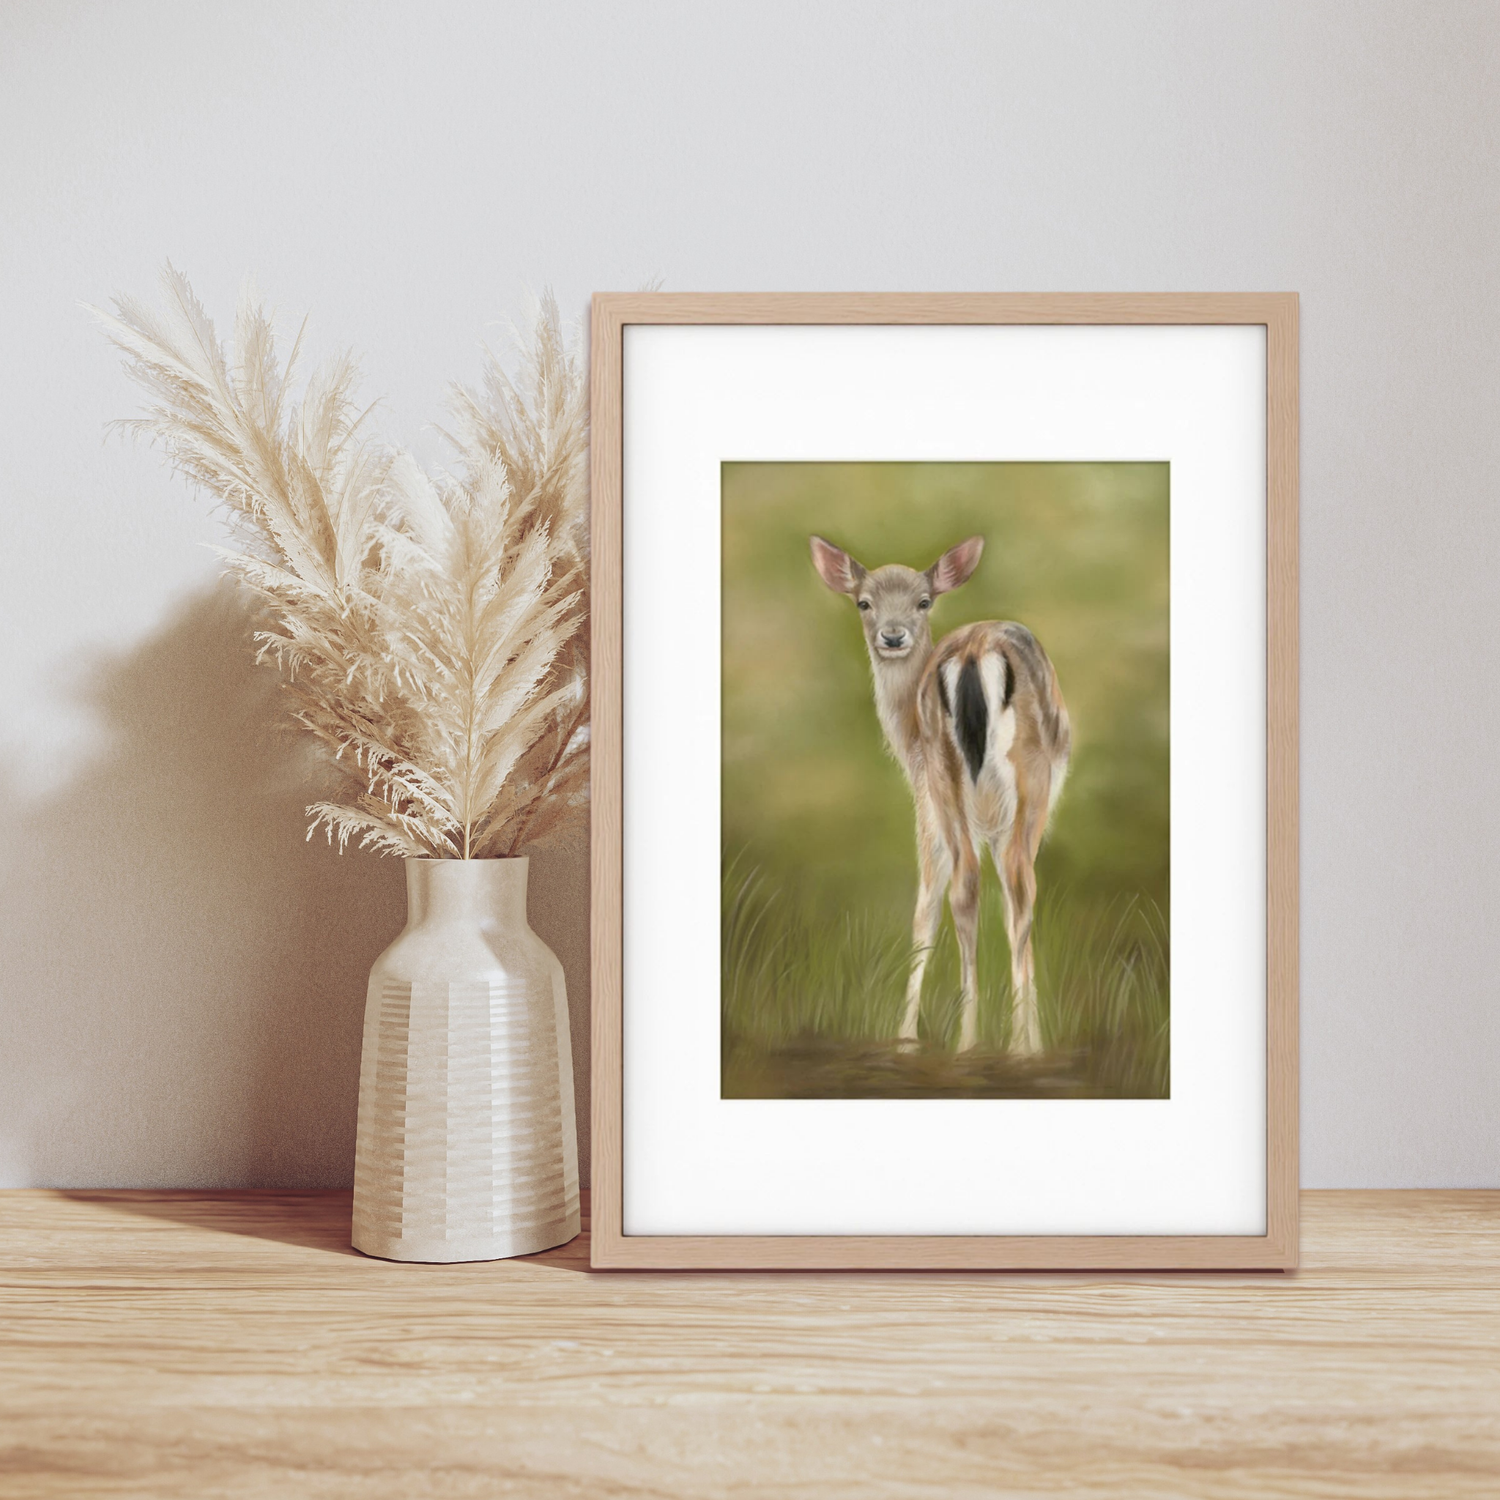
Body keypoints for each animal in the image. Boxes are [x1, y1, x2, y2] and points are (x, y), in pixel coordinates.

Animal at [810, 534, 1071, 1056]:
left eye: (923, 601)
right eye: (863, 602)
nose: (892, 636)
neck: (906, 741)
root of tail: (973, 652)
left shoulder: (936, 804)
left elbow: (934, 905)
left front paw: (907, 1036)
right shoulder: (936, 808)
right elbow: (938, 906)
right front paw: (908, 1035)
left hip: (953, 777)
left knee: (977, 885)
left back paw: (976, 1041)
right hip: (1013, 782)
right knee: (1009, 885)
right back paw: (1003, 1045)